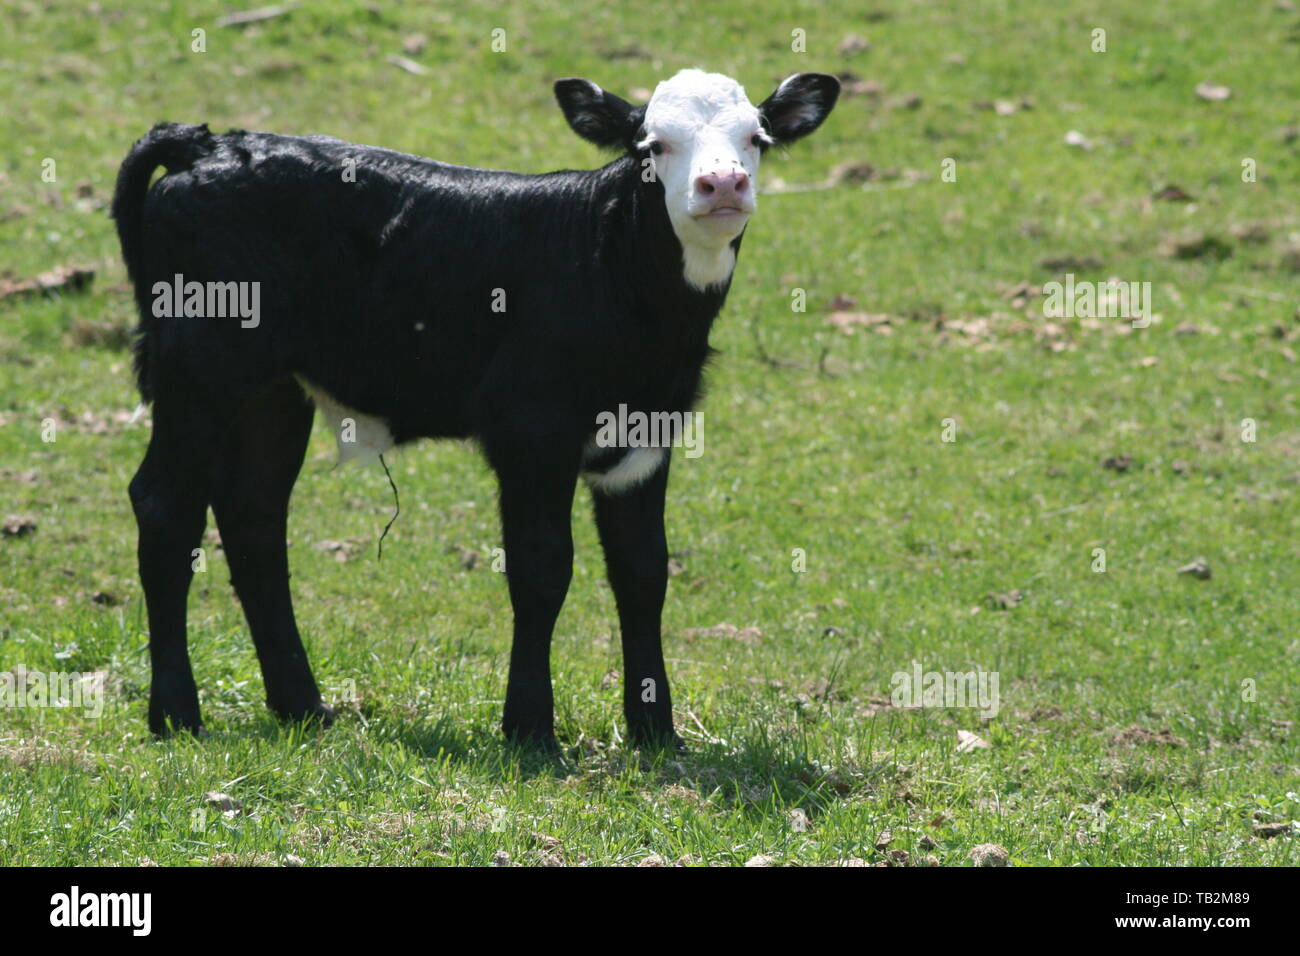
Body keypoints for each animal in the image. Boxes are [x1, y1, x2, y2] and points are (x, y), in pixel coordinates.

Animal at [114, 69, 842, 754]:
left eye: (756, 139)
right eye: (652, 146)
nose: (722, 184)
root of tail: (205, 145)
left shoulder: (645, 436)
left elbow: (643, 571)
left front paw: (656, 731)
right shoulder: (531, 428)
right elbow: (541, 567)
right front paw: (530, 728)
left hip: (273, 390)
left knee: (254, 517)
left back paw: (303, 706)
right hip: (198, 369)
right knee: (165, 508)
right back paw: (176, 713)